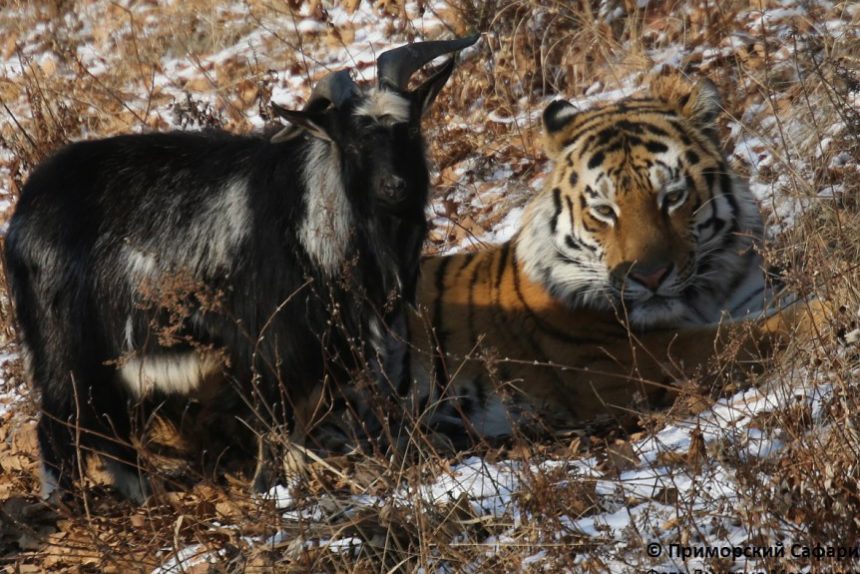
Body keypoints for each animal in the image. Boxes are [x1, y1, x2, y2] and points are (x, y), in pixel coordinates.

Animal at [409, 74, 828, 439]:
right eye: (604, 210)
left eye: (672, 197)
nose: (650, 277)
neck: (706, 297)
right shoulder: (624, 360)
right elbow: (748, 333)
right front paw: (829, 306)